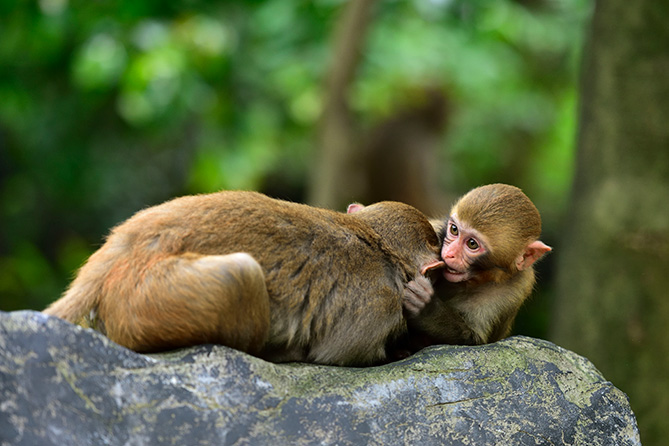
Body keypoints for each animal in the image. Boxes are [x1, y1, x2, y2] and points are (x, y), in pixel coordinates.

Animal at [44, 191, 445, 366]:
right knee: (241, 274)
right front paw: (401, 349)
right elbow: (344, 354)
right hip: (147, 295)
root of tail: (123, 244)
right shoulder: (378, 304)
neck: (376, 241)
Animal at [385, 184, 552, 351]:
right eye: (454, 230)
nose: (449, 254)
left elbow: (474, 339)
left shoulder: (516, 287)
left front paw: (426, 308)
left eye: (472, 244)